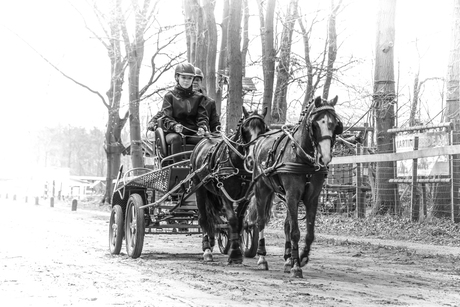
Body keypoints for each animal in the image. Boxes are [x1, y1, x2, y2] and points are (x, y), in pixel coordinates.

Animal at [190, 106, 270, 264]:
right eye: (245, 129)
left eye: (263, 129)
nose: (252, 159)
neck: (236, 163)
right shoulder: (224, 193)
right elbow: (232, 220)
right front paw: (234, 254)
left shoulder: (245, 197)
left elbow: (240, 222)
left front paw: (236, 248)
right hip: (199, 188)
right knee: (203, 218)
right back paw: (207, 250)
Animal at [248, 96, 342, 280]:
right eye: (317, 123)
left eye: (335, 124)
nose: (325, 157)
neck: (302, 156)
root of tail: (260, 139)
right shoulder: (292, 195)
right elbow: (295, 232)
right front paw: (296, 266)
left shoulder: (312, 198)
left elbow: (309, 233)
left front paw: (302, 257)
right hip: (262, 189)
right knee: (260, 221)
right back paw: (262, 258)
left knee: (286, 224)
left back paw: (287, 259)